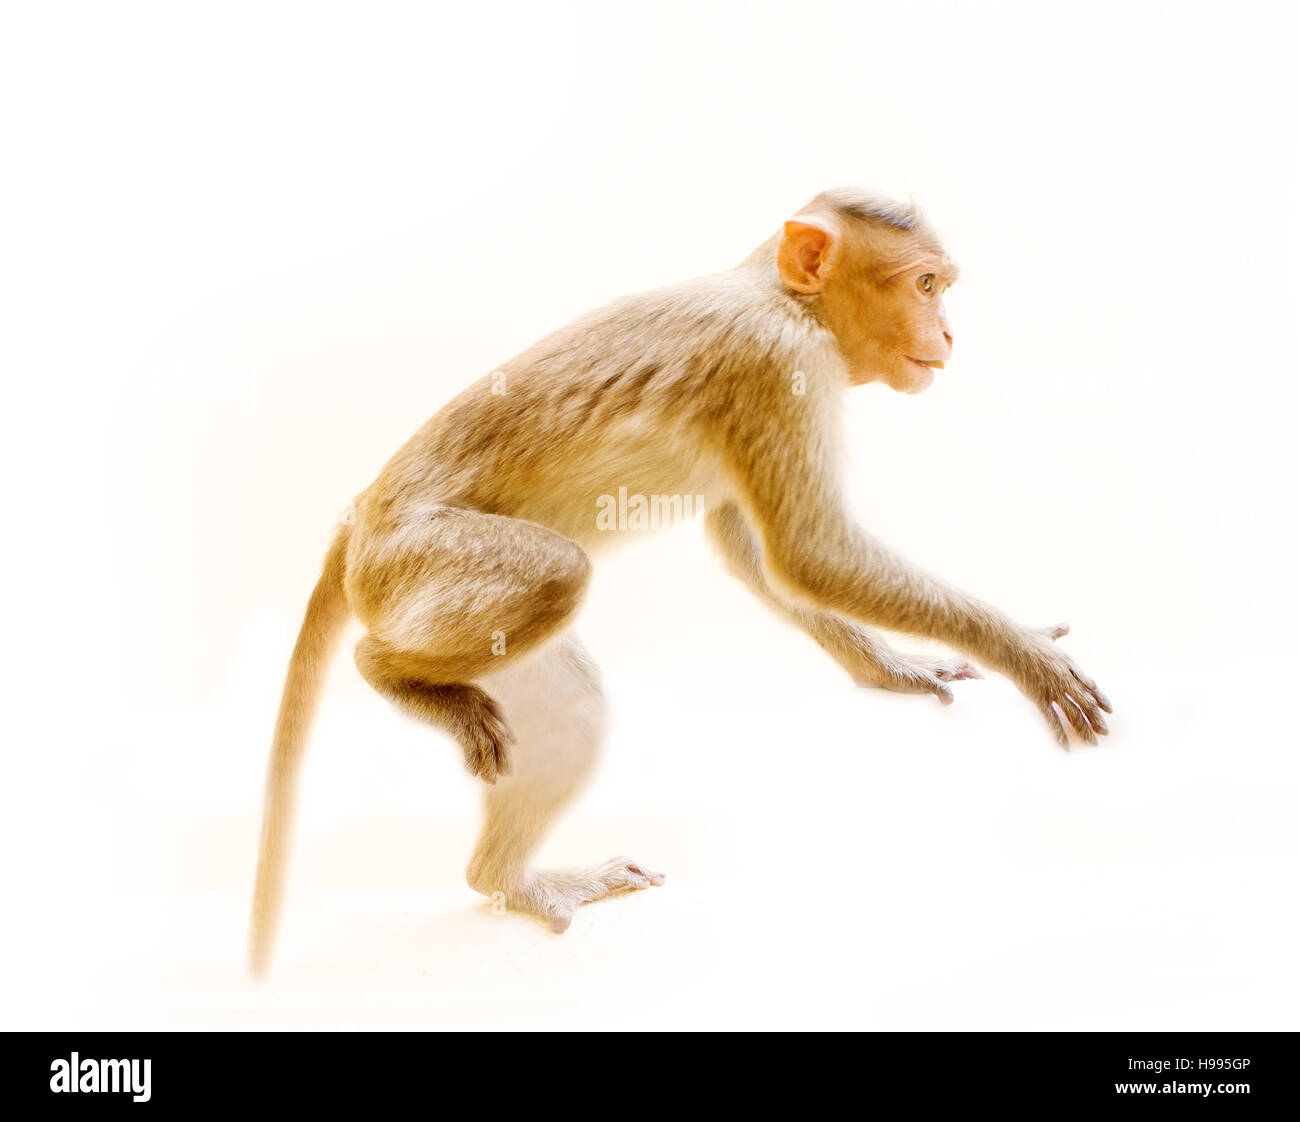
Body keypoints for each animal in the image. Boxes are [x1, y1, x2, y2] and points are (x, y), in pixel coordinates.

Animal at [248, 184, 1112, 972]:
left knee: (570, 704)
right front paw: (1026, 654)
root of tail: (357, 519)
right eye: (925, 284)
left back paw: (508, 879)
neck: (785, 297)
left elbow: (751, 549)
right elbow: (811, 552)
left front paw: (893, 665)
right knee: (554, 573)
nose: (950, 332)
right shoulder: (779, 363)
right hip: (411, 562)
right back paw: (392, 673)